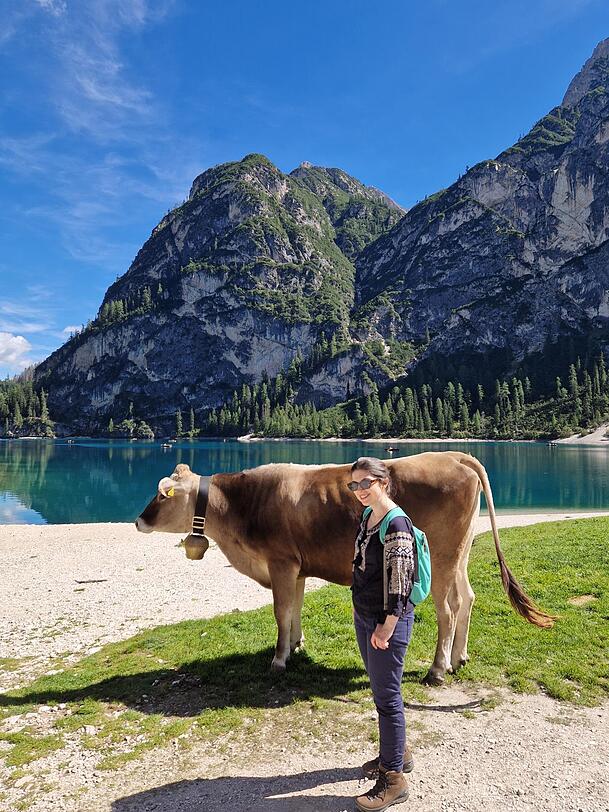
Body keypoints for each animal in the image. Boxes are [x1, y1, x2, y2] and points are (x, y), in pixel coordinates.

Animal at [135, 451, 554, 683]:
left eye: (161, 495)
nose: (138, 521)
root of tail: (454, 455)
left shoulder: (280, 563)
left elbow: (280, 612)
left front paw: (279, 659)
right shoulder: (296, 567)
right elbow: (295, 609)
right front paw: (297, 645)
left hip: (441, 557)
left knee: (447, 611)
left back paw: (438, 669)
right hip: (461, 553)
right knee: (467, 598)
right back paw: (459, 657)